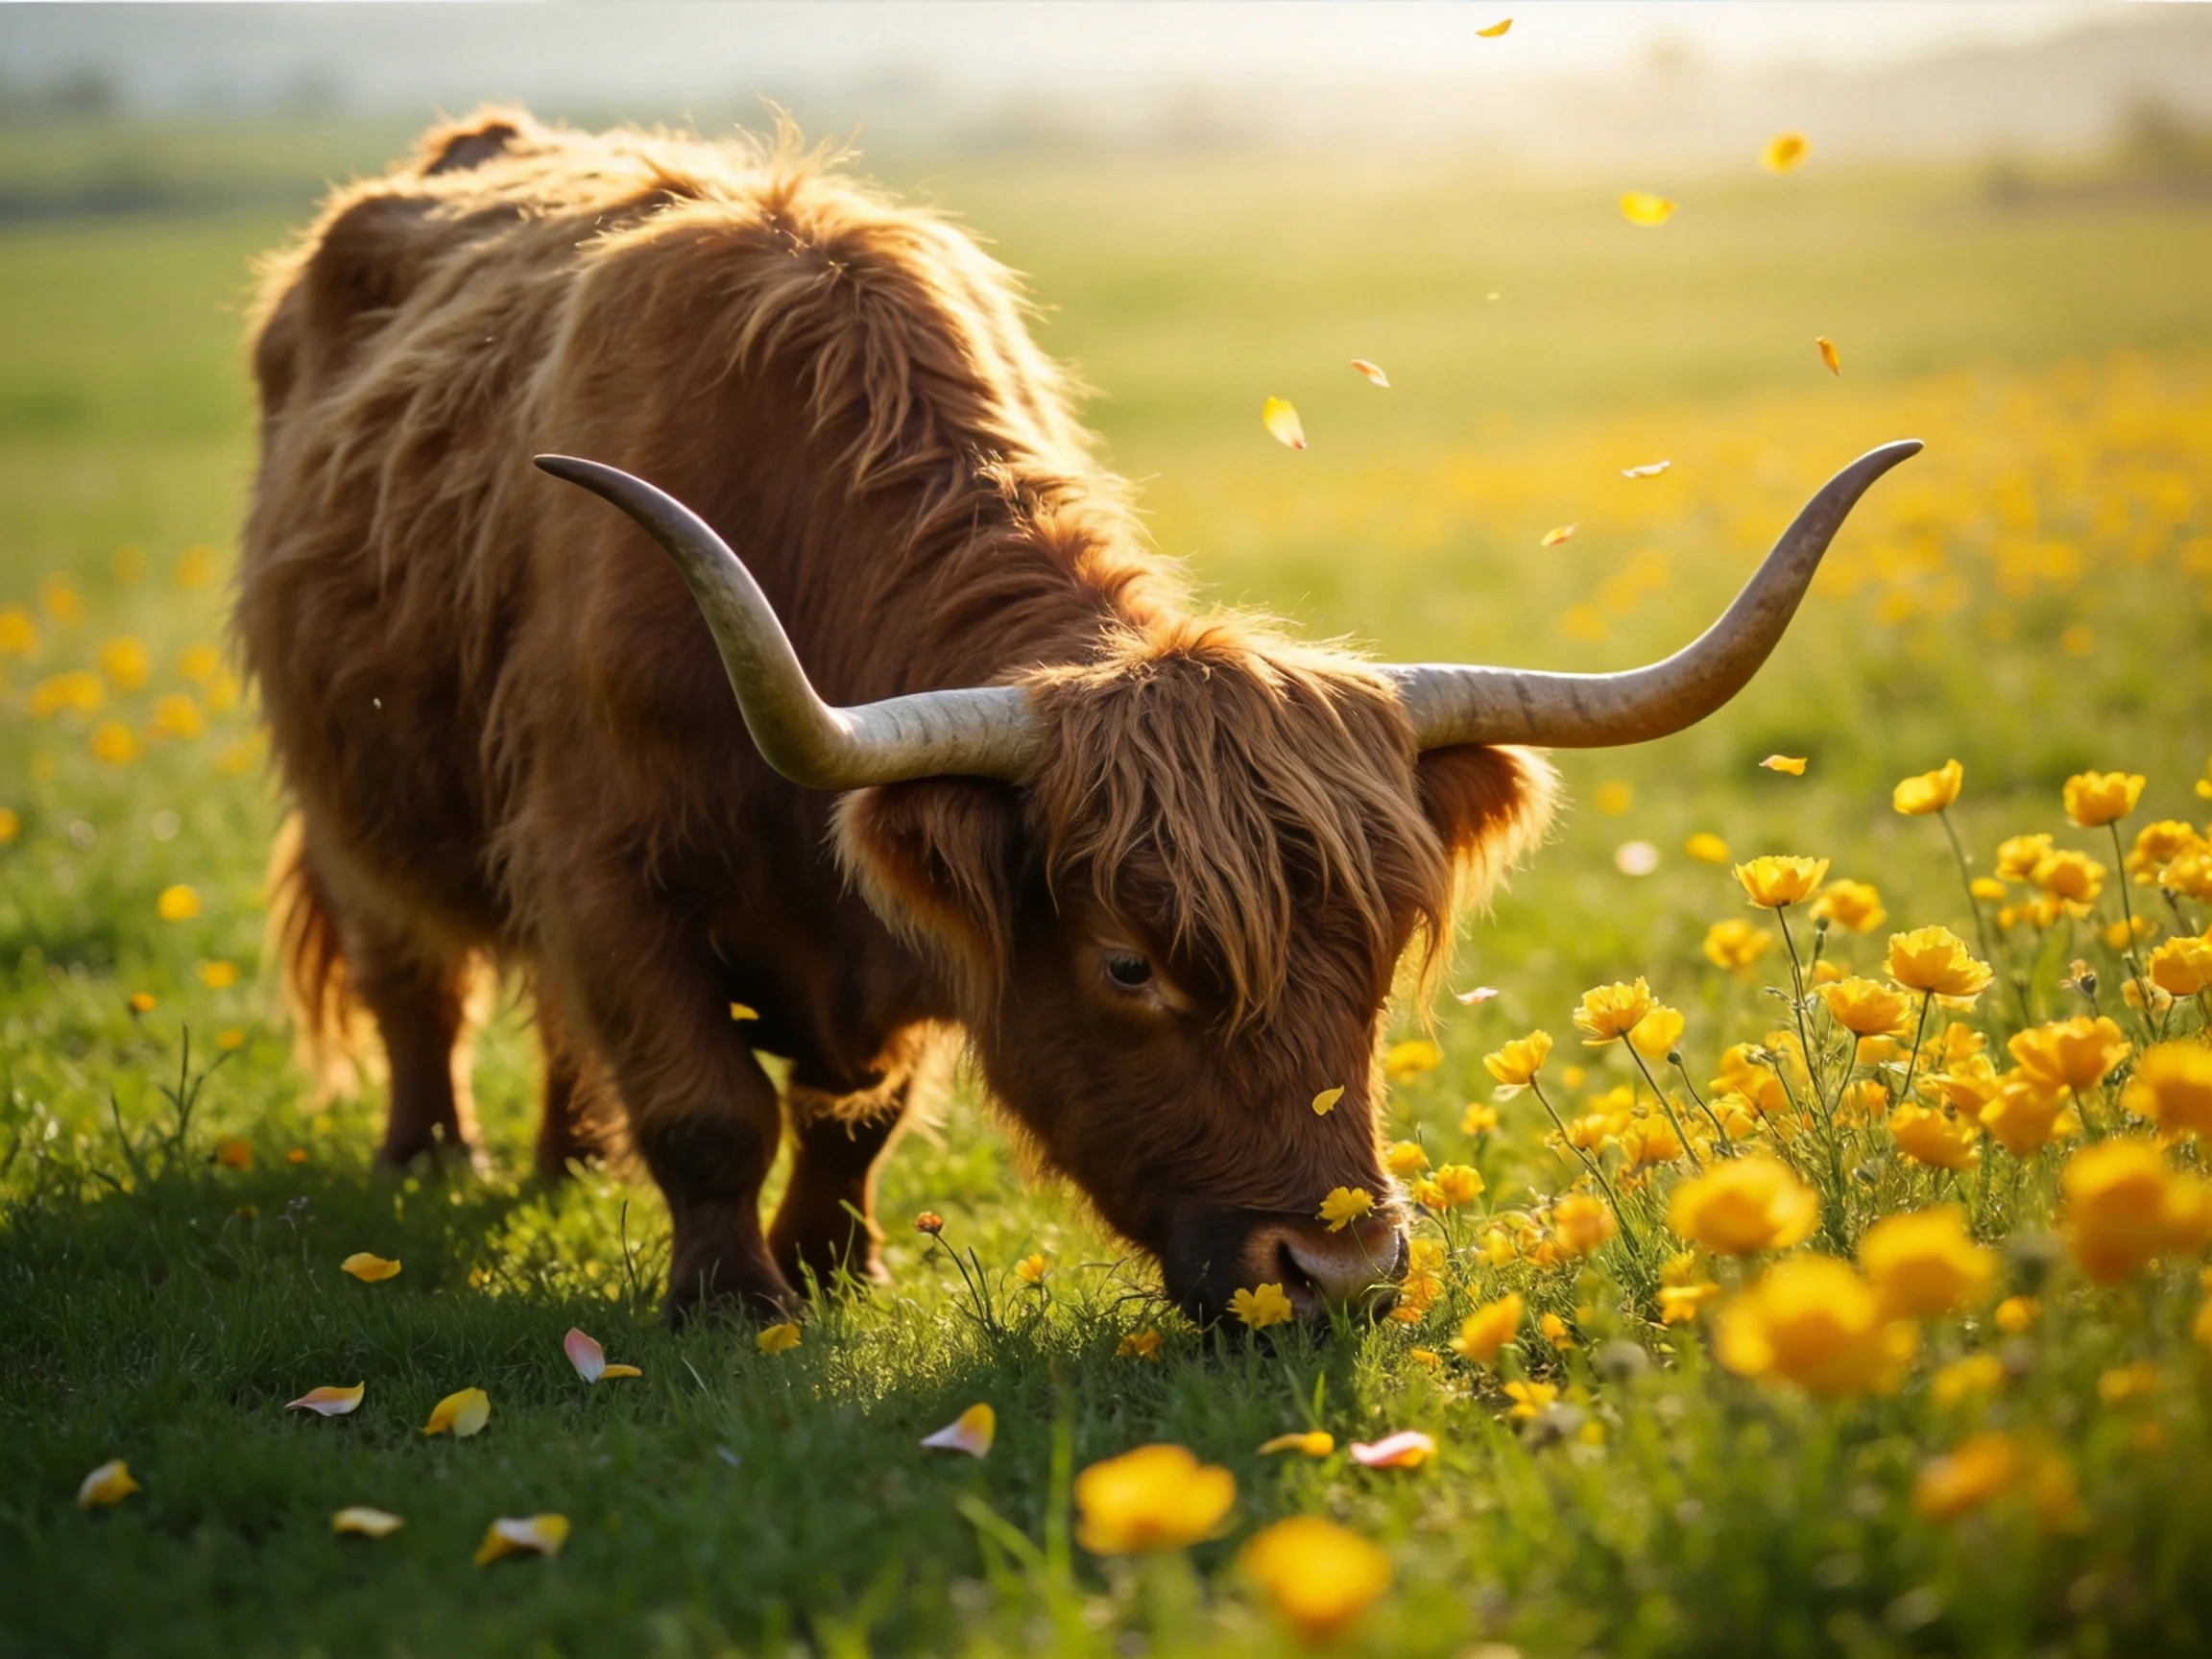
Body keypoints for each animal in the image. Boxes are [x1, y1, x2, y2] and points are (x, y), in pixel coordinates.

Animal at [235, 108, 1916, 1326]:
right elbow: (710, 1106)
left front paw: (839, 1267)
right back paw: (432, 1161)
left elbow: (851, 1114)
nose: (1337, 1276)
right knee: (417, 981)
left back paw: (562, 1163)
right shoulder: (602, 861)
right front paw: (732, 1307)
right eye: (1128, 964)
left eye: (1381, 954)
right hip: (349, 804)